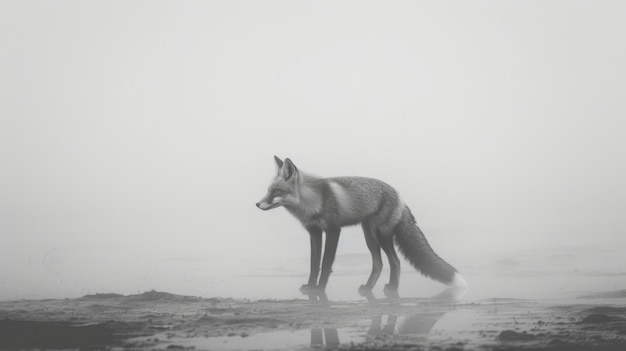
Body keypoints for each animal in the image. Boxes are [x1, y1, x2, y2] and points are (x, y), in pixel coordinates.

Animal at [256, 157, 466, 296]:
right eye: (268, 190)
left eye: (276, 191)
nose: (257, 204)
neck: (314, 200)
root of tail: (401, 197)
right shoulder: (314, 232)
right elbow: (314, 264)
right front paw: (310, 287)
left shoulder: (333, 230)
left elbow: (326, 264)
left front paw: (320, 289)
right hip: (369, 236)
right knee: (379, 263)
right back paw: (368, 288)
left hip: (381, 235)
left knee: (395, 262)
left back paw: (392, 289)